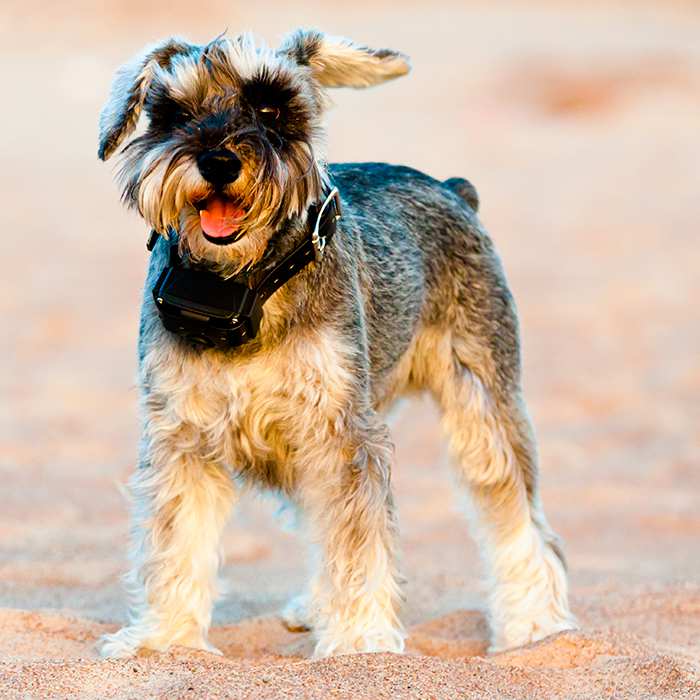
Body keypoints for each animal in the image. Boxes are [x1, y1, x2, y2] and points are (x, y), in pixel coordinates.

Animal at [95, 28, 576, 660]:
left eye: (271, 106)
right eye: (176, 111)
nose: (218, 161)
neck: (245, 285)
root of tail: (453, 189)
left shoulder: (342, 432)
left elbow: (356, 537)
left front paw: (358, 641)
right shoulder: (184, 436)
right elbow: (176, 539)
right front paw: (164, 638)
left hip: (482, 398)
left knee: (517, 516)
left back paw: (536, 625)